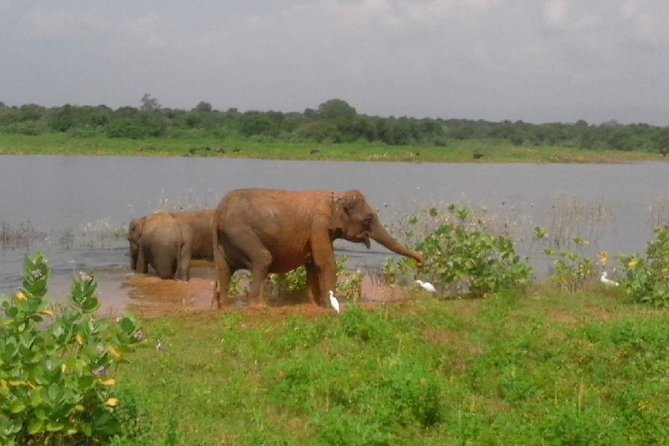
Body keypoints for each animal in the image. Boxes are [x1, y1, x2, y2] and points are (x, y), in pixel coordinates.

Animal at [212, 188, 424, 308]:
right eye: (368, 218)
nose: (421, 261)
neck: (334, 197)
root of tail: (218, 212)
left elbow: (313, 265)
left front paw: (314, 304)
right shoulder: (318, 226)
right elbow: (325, 263)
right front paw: (329, 306)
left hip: (225, 240)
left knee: (223, 269)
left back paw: (224, 306)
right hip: (240, 233)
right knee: (262, 259)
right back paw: (258, 306)